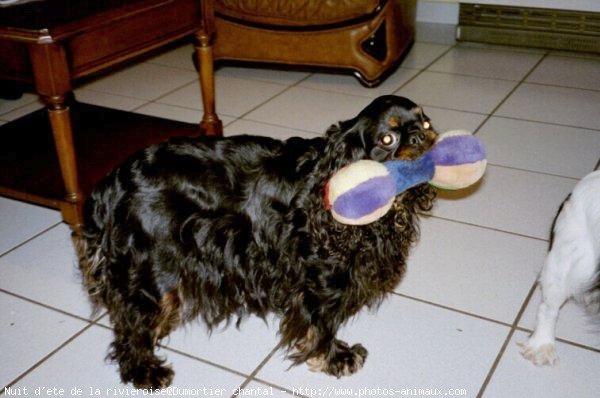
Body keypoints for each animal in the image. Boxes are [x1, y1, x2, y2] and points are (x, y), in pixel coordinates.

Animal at [77, 95, 438, 388]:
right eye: (387, 139)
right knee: (132, 325)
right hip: (154, 272)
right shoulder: (321, 277)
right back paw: (145, 371)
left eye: (425, 121)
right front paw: (335, 358)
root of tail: (111, 185)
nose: (422, 136)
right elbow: (322, 323)